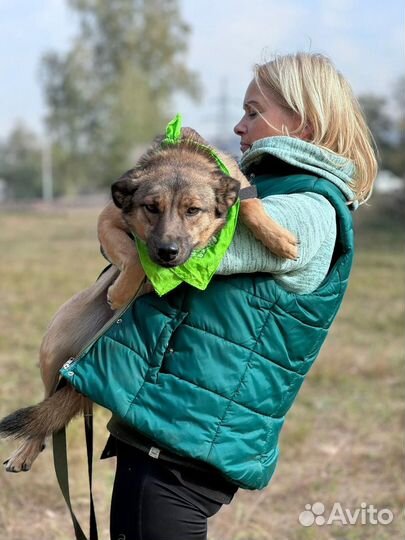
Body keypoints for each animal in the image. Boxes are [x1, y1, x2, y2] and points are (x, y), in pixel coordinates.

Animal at [0, 126, 296, 472]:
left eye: (192, 210)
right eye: (151, 208)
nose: (168, 252)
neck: (182, 156)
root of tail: (87, 346)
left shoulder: (239, 193)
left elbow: (248, 205)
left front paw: (279, 238)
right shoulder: (108, 219)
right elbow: (134, 254)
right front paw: (122, 290)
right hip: (51, 348)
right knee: (44, 413)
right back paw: (25, 452)